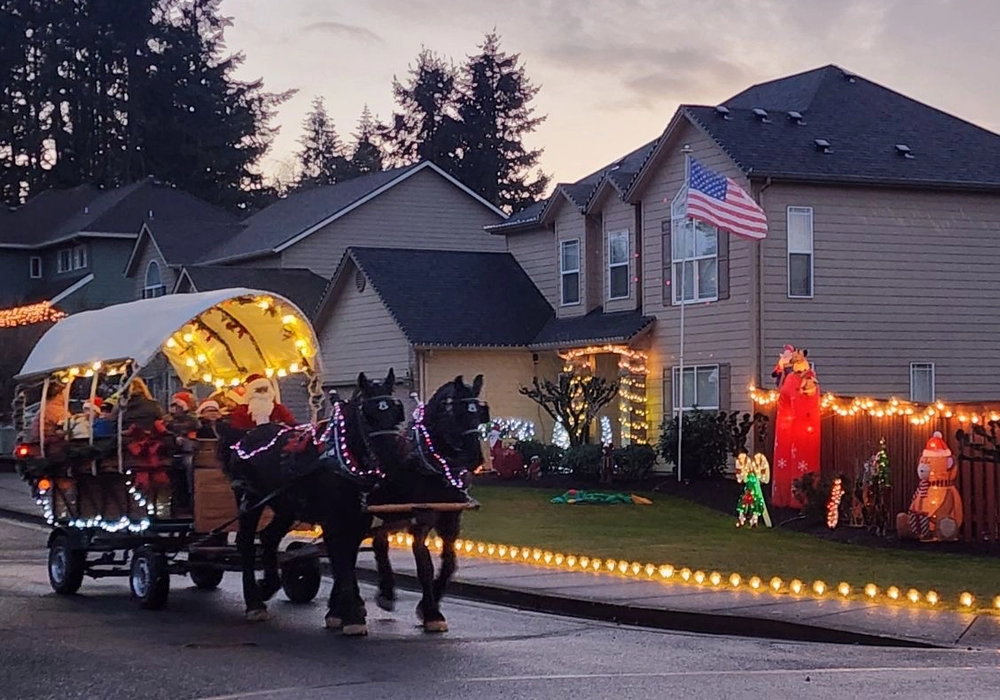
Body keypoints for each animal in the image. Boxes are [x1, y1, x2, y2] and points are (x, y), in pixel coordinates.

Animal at [221, 366, 404, 636]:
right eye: (368, 415)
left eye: (396, 411)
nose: (393, 457)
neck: (341, 458)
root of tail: (244, 438)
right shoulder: (332, 520)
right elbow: (341, 560)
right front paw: (352, 615)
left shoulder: (357, 518)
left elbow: (347, 557)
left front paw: (339, 612)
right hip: (250, 500)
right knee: (245, 542)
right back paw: (254, 602)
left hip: (285, 507)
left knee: (269, 538)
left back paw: (268, 585)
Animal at [370, 378, 490, 636]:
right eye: (457, 412)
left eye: (479, 413)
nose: (475, 458)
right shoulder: (421, 518)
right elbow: (423, 563)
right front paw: (432, 613)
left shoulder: (451, 517)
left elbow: (450, 561)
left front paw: (428, 604)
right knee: (376, 542)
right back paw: (384, 594)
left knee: (379, 541)